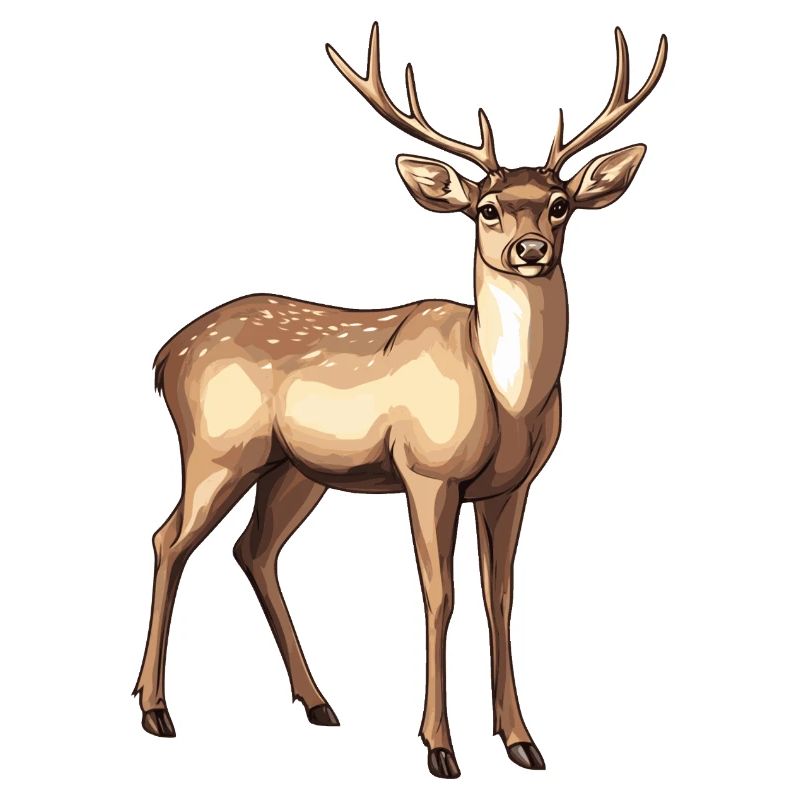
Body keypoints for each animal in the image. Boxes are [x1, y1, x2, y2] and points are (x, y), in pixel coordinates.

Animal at [133, 22, 667, 778]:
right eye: (487, 209)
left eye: (561, 204)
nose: (531, 248)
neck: (507, 402)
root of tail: (165, 354)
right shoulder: (427, 470)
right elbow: (439, 596)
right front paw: (439, 747)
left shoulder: (512, 486)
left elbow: (501, 597)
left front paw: (522, 741)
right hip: (217, 447)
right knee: (169, 539)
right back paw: (155, 710)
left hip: (295, 470)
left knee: (253, 550)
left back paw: (319, 702)